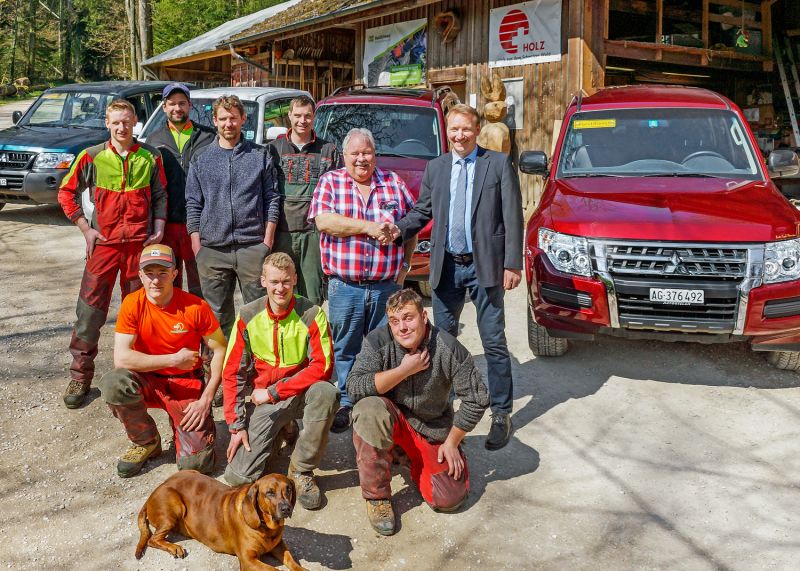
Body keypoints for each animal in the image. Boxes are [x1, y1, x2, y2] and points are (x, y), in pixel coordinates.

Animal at [136, 472, 304, 568]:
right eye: (269, 492)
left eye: (288, 489)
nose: (286, 508)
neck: (267, 527)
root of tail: (156, 489)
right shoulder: (248, 560)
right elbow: (273, 569)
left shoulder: (279, 545)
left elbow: (292, 561)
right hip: (174, 505)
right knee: (152, 539)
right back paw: (173, 547)